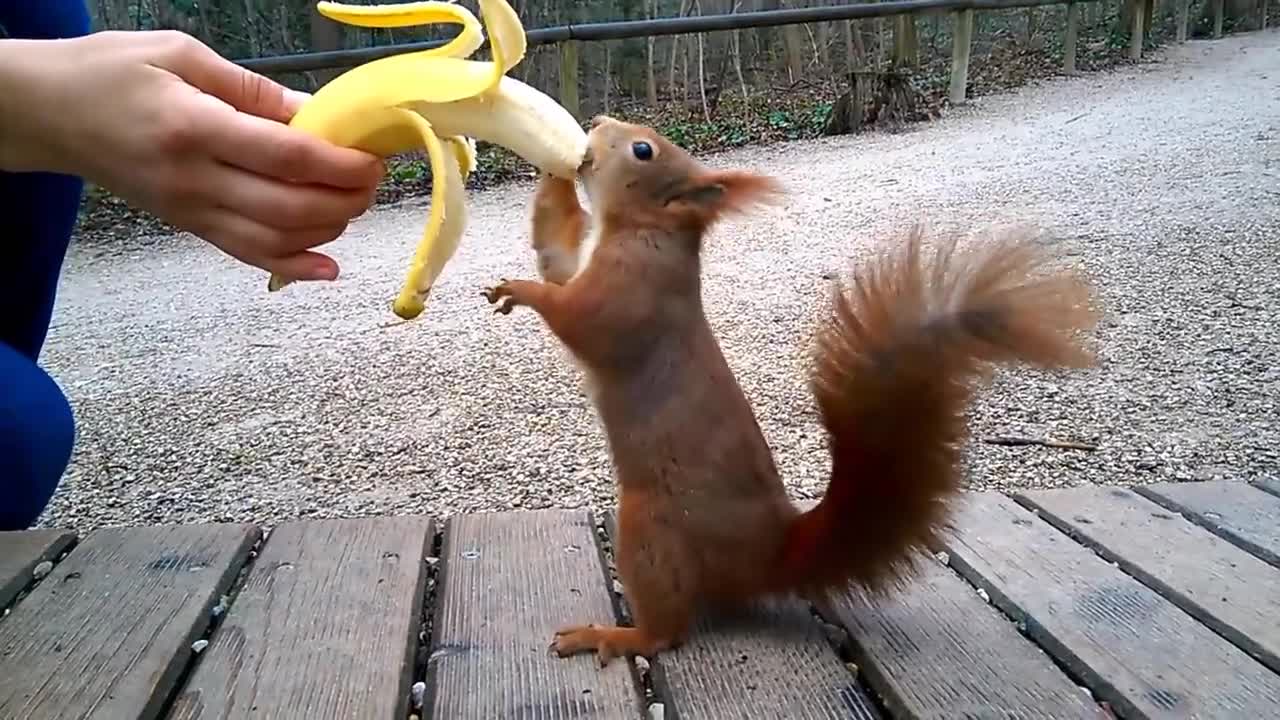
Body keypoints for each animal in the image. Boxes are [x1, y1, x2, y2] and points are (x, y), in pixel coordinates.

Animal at [481, 114, 1100, 666]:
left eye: (643, 150)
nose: (595, 123)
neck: (641, 230)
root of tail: (768, 556)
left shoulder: (629, 293)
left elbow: (577, 314)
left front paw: (525, 289)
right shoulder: (586, 261)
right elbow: (558, 258)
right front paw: (552, 176)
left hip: (650, 526)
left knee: (668, 633)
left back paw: (610, 636)